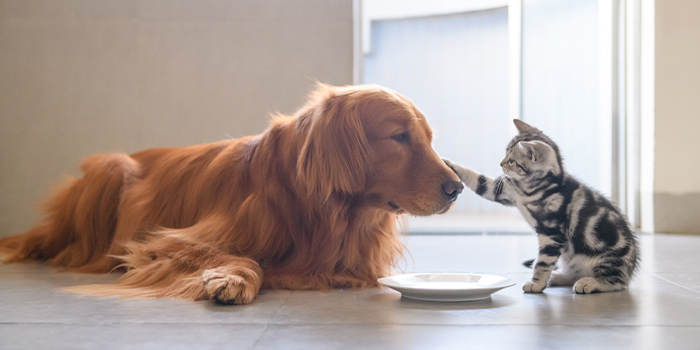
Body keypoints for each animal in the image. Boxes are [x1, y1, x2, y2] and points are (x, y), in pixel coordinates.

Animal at [1, 84, 464, 304]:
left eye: (428, 138)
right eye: (399, 137)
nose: (457, 187)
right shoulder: (165, 242)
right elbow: (244, 257)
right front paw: (232, 279)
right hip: (112, 169)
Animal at [448, 119, 640, 294]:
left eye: (511, 161)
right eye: (505, 154)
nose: (501, 163)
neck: (530, 189)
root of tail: (630, 270)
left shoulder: (552, 233)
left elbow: (543, 262)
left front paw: (537, 283)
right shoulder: (505, 192)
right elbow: (478, 181)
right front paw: (449, 164)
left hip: (608, 258)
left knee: (616, 282)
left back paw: (590, 282)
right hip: (571, 260)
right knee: (576, 273)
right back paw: (559, 276)